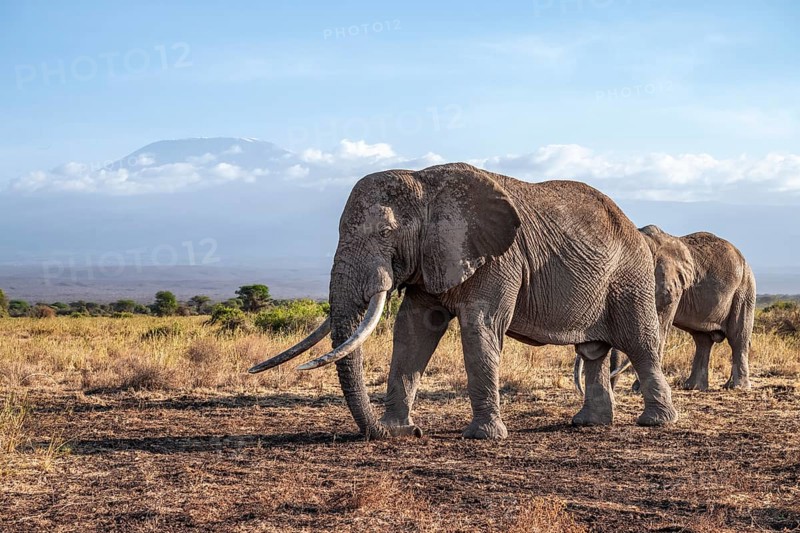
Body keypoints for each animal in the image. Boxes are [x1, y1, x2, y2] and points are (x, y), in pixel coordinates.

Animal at [249, 163, 677, 439]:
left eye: (386, 232)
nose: (418, 432)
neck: (425, 184)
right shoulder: (432, 256)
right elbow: (414, 328)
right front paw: (398, 429)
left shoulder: (499, 257)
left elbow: (480, 326)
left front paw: (483, 437)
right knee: (593, 352)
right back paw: (588, 424)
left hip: (632, 277)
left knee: (640, 344)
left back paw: (656, 423)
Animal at [574, 225, 756, 394]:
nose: (611, 388)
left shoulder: (670, 288)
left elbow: (658, 327)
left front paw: (640, 390)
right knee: (702, 339)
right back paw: (692, 387)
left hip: (744, 289)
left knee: (737, 336)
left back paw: (736, 387)